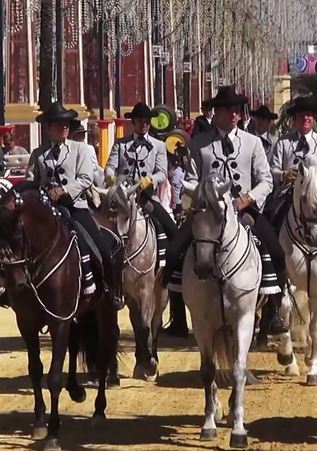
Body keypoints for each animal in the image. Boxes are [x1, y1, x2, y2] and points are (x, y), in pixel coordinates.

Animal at [0, 184, 117, 451]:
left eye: (18, 236)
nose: (16, 285)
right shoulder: (27, 322)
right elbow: (35, 369)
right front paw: (39, 421)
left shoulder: (59, 320)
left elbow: (53, 376)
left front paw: (53, 433)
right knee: (74, 345)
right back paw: (75, 389)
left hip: (105, 311)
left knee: (103, 355)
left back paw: (99, 411)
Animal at [181, 176, 260, 448]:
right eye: (192, 214)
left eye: (219, 217)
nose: (202, 268)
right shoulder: (202, 323)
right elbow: (208, 371)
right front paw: (208, 425)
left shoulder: (244, 321)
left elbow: (238, 369)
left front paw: (238, 429)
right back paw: (216, 409)